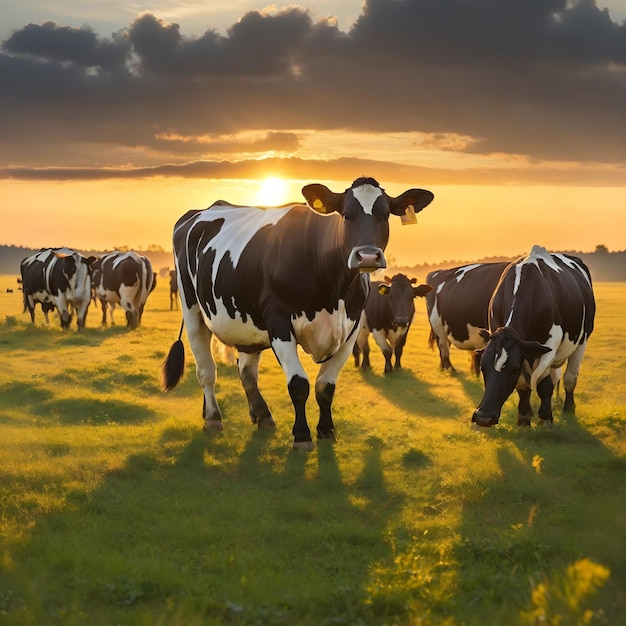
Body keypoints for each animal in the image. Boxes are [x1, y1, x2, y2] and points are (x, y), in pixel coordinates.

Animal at [161, 176, 434, 448]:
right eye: (346, 215)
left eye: (385, 214)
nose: (367, 256)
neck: (333, 289)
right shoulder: (279, 323)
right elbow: (299, 384)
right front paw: (302, 435)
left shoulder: (351, 328)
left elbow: (326, 386)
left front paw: (326, 430)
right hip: (192, 311)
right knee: (206, 371)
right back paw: (213, 418)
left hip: (246, 323)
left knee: (246, 371)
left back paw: (262, 415)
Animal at [470, 246, 592, 426]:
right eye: (482, 367)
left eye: (513, 370)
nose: (483, 417)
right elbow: (523, 385)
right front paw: (524, 415)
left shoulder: (548, 348)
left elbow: (544, 385)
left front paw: (546, 416)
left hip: (582, 341)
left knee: (570, 377)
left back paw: (568, 407)